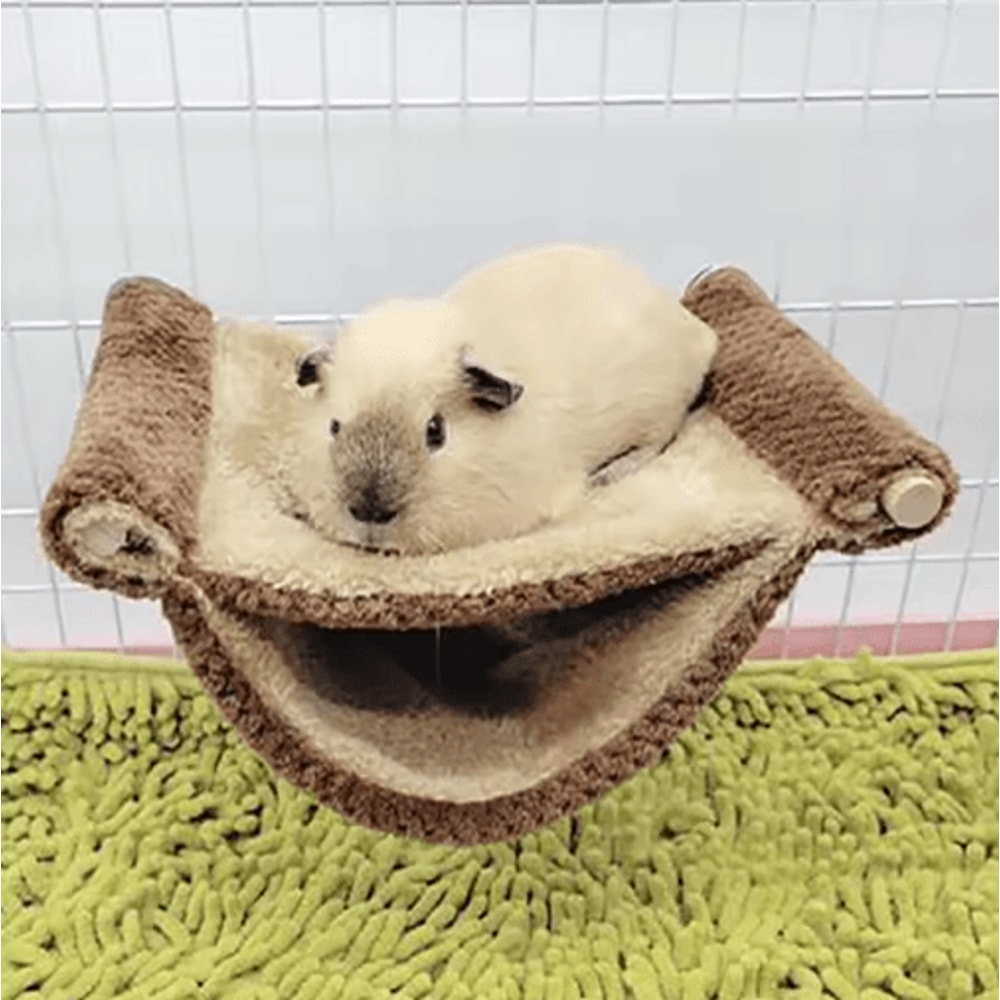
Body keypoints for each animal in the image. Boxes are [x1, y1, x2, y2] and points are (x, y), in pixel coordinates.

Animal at [285, 243, 718, 555]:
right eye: (334, 426)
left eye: (436, 432)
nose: (369, 513)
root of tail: (702, 334)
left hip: (658, 413)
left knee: (658, 440)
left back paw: (608, 474)